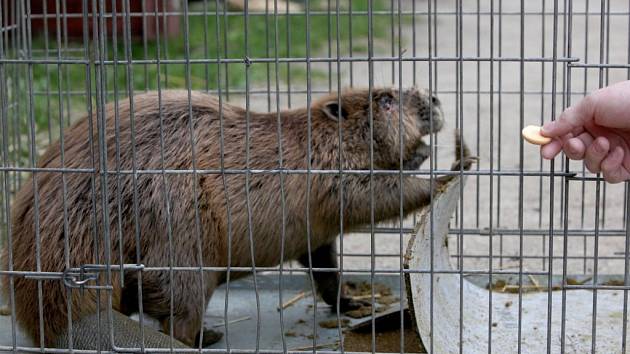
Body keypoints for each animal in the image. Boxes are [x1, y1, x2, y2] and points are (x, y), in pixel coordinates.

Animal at [0, 87, 474, 348]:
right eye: (388, 100)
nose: (434, 99)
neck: (308, 139)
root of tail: (68, 319)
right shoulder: (325, 175)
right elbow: (371, 194)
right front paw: (449, 165)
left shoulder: (314, 231)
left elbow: (323, 263)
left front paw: (353, 302)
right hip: (182, 249)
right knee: (176, 315)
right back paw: (205, 338)